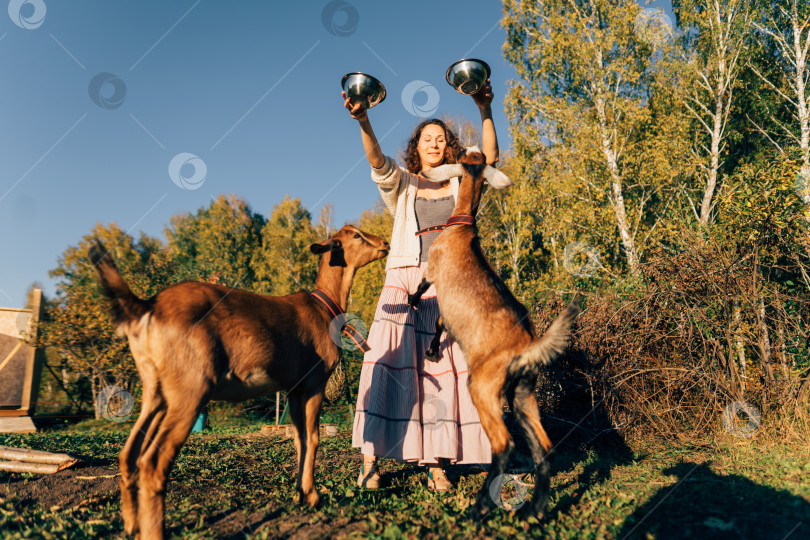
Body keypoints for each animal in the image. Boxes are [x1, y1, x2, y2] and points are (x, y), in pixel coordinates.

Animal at [90, 226, 386, 536]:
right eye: (356, 235)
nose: (385, 243)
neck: (324, 309)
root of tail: (147, 307)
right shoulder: (314, 381)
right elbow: (313, 438)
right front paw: (314, 497)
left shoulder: (293, 389)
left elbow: (300, 439)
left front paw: (300, 494)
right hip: (190, 389)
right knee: (152, 463)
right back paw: (154, 532)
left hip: (154, 389)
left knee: (129, 454)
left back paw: (131, 526)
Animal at [408, 148, 576, 520]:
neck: (461, 228)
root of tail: (529, 346)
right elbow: (440, 323)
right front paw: (432, 351)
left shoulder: (434, 273)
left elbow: (427, 300)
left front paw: (414, 309)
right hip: (524, 394)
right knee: (543, 448)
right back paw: (535, 512)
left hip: (483, 388)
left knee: (504, 445)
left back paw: (480, 507)